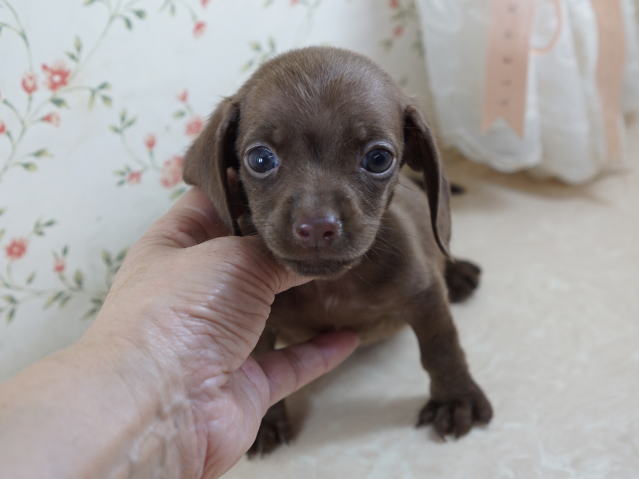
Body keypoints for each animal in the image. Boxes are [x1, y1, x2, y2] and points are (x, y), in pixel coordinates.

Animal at [182, 47, 492, 456]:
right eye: (260, 159)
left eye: (378, 159)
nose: (317, 227)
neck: (331, 286)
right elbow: (259, 367)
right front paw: (265, 420)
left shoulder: (425, 295)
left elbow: (441, 347)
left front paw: (455, 398)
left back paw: (457, 274)